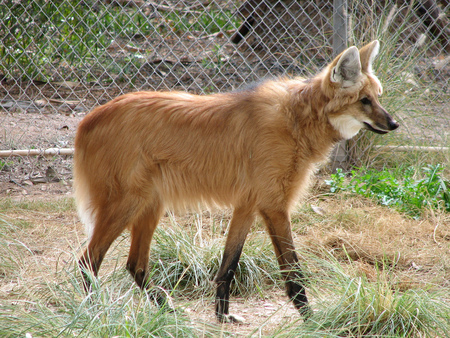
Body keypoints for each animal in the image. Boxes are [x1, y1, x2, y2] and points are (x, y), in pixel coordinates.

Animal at [74, 40, 400, 322]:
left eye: (378, 97)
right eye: (364, 101)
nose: (394, 124)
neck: (297, 119)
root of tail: (88, 118)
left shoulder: (248, 204)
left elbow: (229, 265)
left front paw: (223, 316)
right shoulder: (273, 205)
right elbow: (293, 271)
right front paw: (311, 320)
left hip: (150, 205)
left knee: (136, 266)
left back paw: (168, 311)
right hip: (128, 203)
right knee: (88, 260)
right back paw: (96, 314)